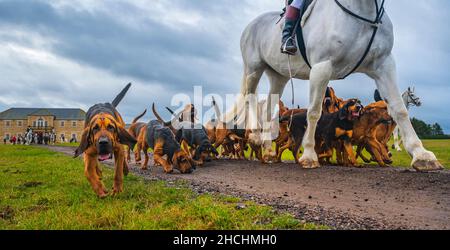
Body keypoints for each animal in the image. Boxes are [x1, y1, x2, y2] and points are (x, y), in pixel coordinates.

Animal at [227, 0, 442, 172]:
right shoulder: (322, 67)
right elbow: (314, 112)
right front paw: (309, 155)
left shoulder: (384, 65)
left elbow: (399, 109)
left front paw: (422, 155)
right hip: (254, 69)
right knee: (250, 97)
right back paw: (256, 138)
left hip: (278, 76)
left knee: (268, 109)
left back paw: (268, 151)